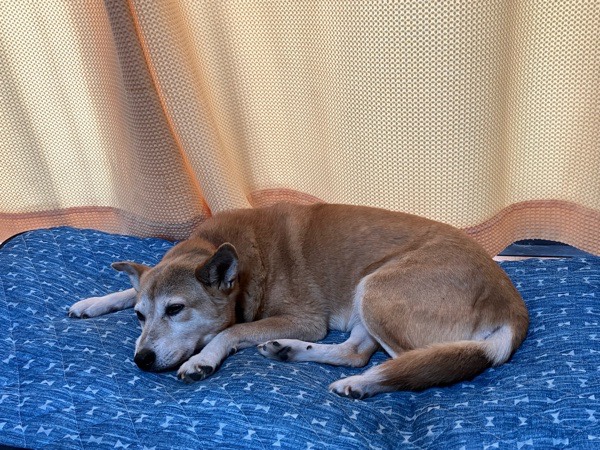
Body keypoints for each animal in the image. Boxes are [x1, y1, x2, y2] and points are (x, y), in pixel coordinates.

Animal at [69, 202, 528, 398]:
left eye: (176, 309)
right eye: (140, 316)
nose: (141, 360)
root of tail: (512, 305)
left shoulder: (305, 319)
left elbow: (230, 331)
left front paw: (202, 359)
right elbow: (132, 286)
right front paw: (94, 300)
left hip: (375, 289)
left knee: (407, 363)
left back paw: (364, 384)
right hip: (365, 299)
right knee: (353, 352)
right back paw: (289, 351)